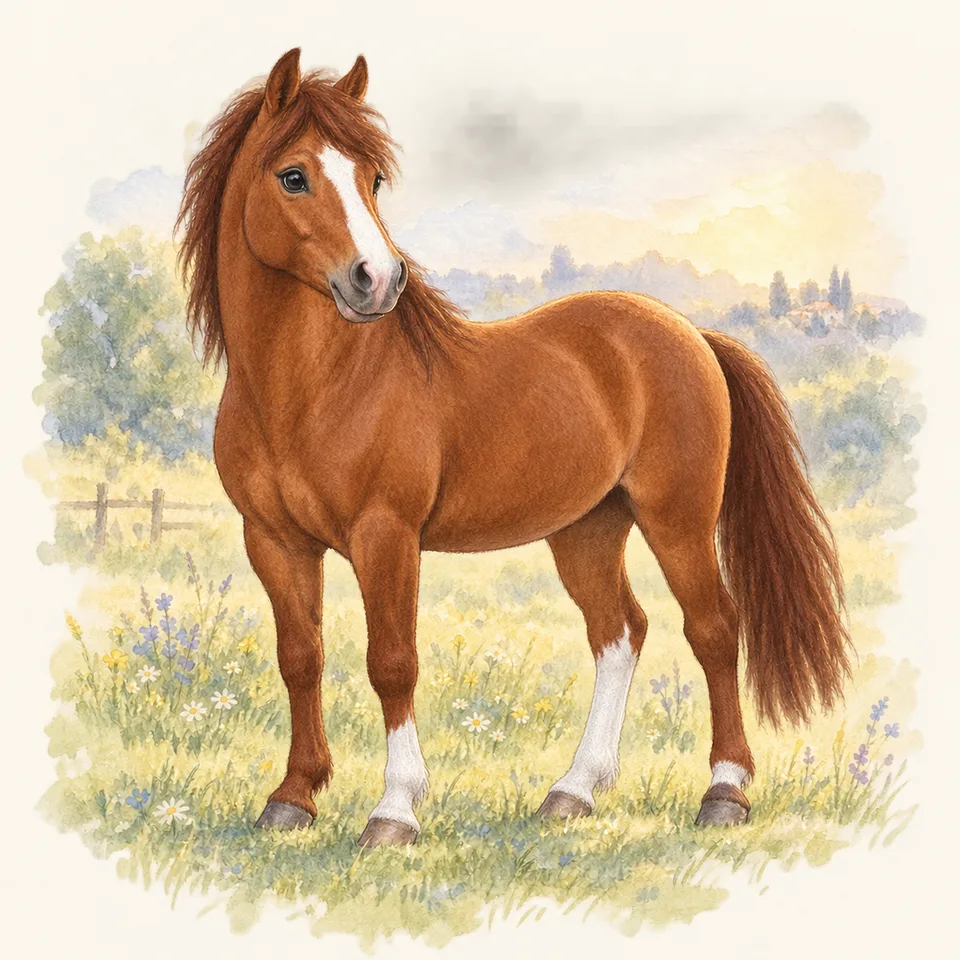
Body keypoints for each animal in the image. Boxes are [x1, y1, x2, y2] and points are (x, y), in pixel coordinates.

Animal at [177, 48, 850, 847]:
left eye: (373, 178)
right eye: (292, 176)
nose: (378, 280)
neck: (312, 389)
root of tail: (690, 334)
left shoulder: (385, 535)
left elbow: (391, 663)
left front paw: (394, 811)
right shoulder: (273, 541)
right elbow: (300, 659)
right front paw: (292, 798)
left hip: (676, 520)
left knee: (713, 629)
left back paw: (724, 792)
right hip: (588, 528)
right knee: (620, 632)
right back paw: (573, 791)